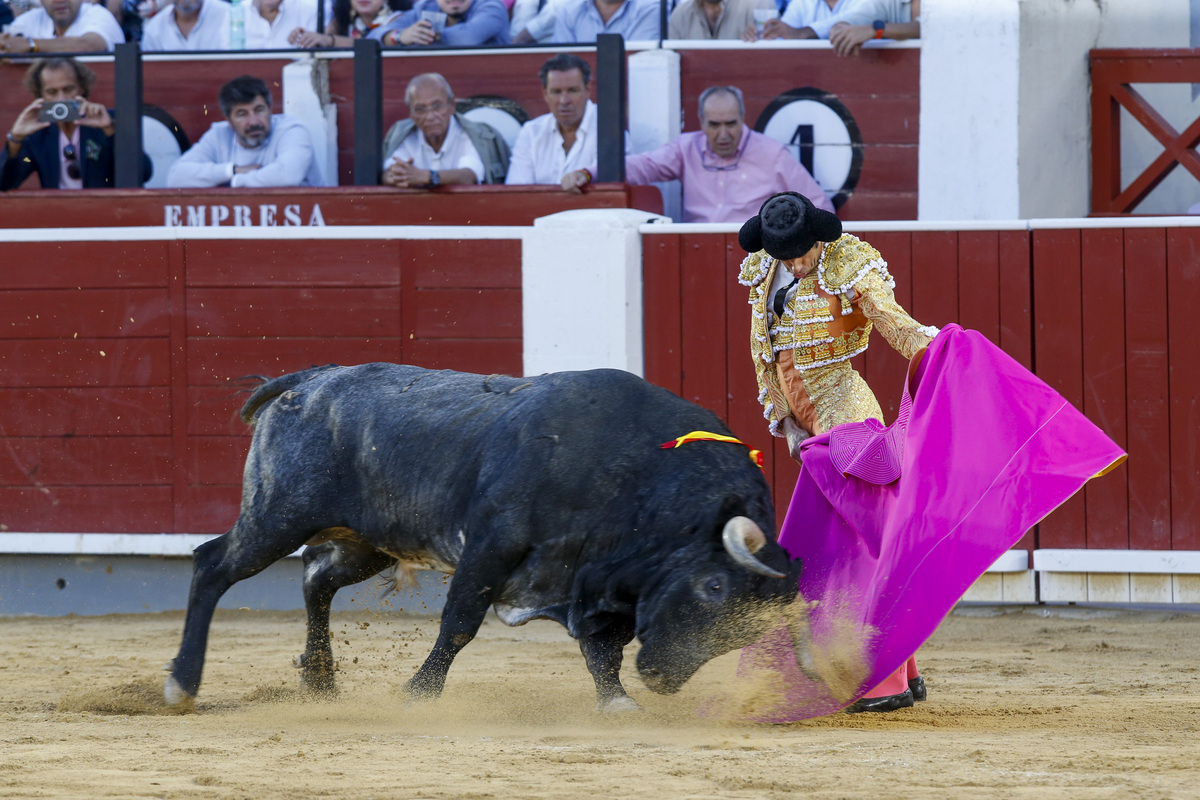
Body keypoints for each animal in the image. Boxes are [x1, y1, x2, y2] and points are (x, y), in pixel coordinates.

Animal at [162, 367, 796, 710]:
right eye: (714, 587)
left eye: (750, 628)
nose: (663, 678)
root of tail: (312, 379)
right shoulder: (492, 547)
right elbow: (461, 624)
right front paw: (417, 694)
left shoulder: (593, 581)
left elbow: (601, 647)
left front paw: (616, 700)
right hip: (278, 515)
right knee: (213, 564)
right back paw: (181, 684)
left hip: (367, 542)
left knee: (316, 577)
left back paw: (318, 681)